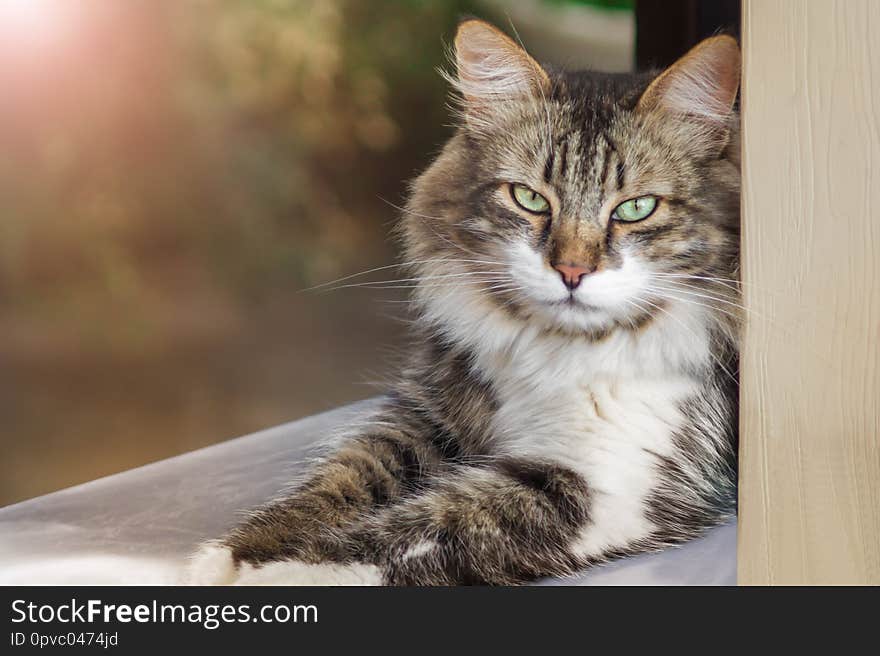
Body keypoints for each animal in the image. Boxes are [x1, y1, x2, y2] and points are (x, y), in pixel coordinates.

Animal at [187, 18, 744, 588]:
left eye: (636, 208)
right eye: (530, 199)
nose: (571, 271)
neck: (554, 351)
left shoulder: (600, 482)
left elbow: (414, 529)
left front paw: (275, 575)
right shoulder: (422, 416)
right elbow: (336, 481)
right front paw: (232, 557)